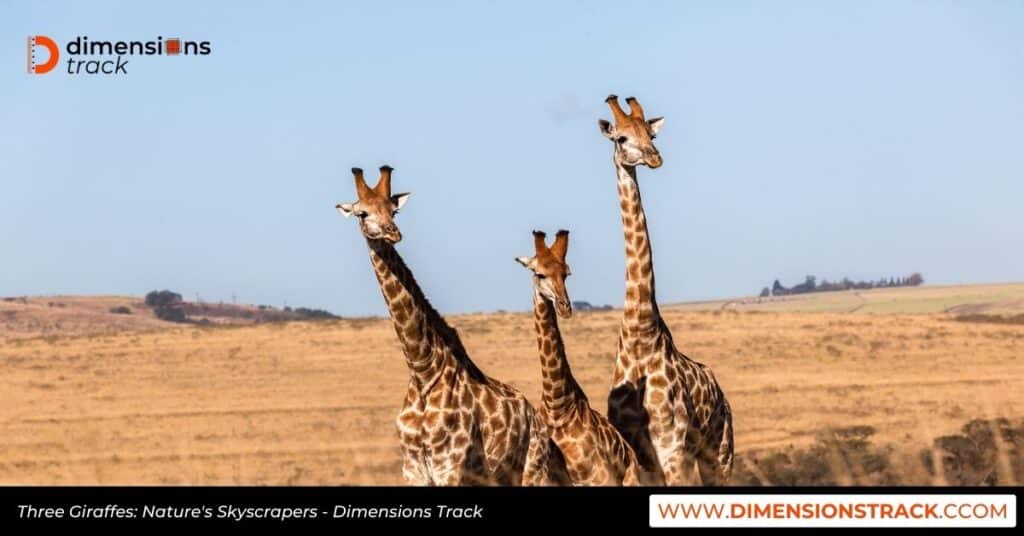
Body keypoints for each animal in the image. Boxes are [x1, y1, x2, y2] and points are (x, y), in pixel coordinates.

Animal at [335, 165, 569, 485]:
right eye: (363, 213)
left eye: (394, 211)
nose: (393, 232)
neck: (422, 370)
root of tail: (534, 416)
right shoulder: (414, 471)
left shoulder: (451, 468)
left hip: (532, 469)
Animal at [598, 96, 733, 485]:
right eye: (621, 138)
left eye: (650, 133)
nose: (654, 157)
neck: (639, 336)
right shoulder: (640, 457)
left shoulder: (673, 448)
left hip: (720, 454)